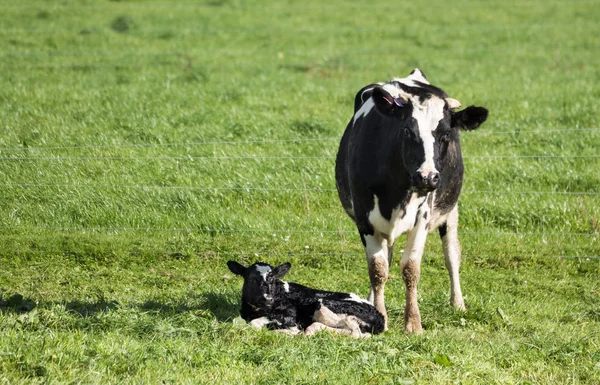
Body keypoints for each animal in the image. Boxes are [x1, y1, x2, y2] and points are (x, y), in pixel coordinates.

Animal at [225, 258, 384, 336]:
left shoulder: (289, 316)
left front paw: (287, 331)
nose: (268, 299)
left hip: (324, 303)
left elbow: (255, 323)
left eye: (274, 279)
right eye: (251, 279)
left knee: (355, 332)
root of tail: (380, 316)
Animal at [336, 67, 490, 332]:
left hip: (450, 210)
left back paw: (458, 303)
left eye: (446, 134)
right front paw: (380, 315)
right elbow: (378, 269)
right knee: (385, 259)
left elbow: (411, 268)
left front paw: (413, 324)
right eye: (407, 131)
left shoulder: (423, 217)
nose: (427, 176)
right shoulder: (364, 217)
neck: (396, 190)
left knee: (452, 254)